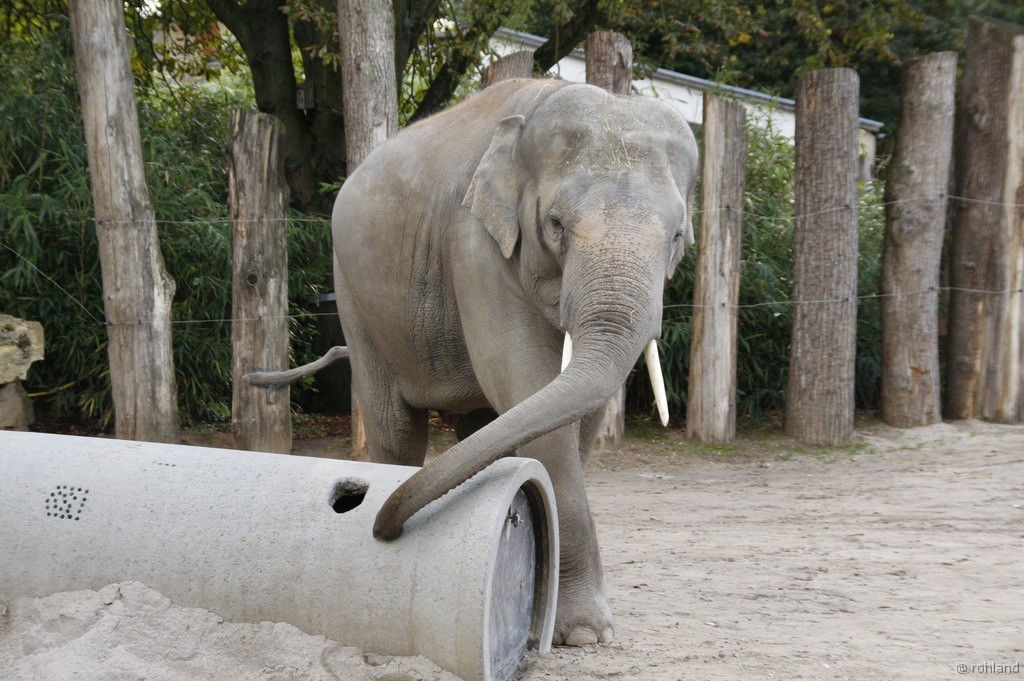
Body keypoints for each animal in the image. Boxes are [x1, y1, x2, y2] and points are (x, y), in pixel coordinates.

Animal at [331, 77, 698, 646]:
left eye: (678, 237)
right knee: (395, 428)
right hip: (356, 299)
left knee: (481, 425)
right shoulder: (474, 243)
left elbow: (572, 415)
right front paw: (584, 634)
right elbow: (527, 386)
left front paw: (584, 630)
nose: (383, 530)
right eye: (555, 224)